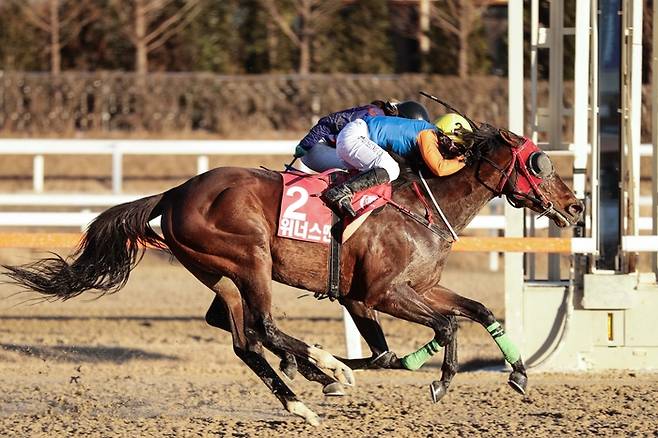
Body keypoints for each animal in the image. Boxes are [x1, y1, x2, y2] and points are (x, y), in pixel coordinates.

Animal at [3, 122, 580, 424]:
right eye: (540, 164)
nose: (575, 207)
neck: (421, 207)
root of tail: (176, 191)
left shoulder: (419, 287)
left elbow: (470, 312)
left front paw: (519, 372)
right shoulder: (379, 295)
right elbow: (439, 329)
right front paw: (433, 378)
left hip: (219, 274)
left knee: (242, 337)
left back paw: (301, 397)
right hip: (251, 259)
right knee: (263, 327)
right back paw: (321, 368)